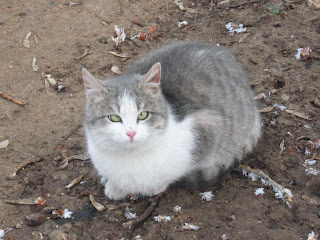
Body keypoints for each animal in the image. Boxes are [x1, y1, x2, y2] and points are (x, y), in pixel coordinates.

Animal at [81, 41, 262, 201]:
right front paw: (117, 187)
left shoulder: (208, 128)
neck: (131, 158)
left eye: (143, 115)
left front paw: (155, 186)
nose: (131, 133)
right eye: (114, 117)